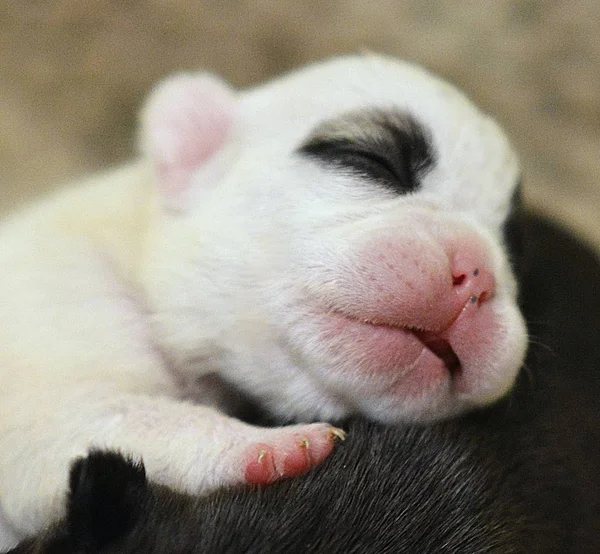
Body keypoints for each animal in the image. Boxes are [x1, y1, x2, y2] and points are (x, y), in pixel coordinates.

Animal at [0, 56, 524, 540]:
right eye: (369, 161)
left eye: (510, 241)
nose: (478, 274)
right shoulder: (47, 359)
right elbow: (104, 416)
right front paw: (271, 445)